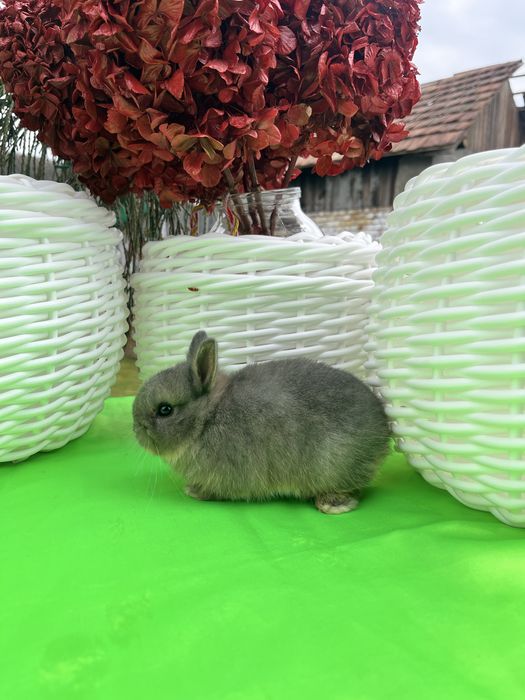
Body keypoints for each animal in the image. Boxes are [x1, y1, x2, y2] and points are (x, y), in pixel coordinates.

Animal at [132, 331, 390, 514]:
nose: (136, 428)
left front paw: (194, 491)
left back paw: (331, 504)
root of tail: (384, 433)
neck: (207, 418)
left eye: (165, 410)